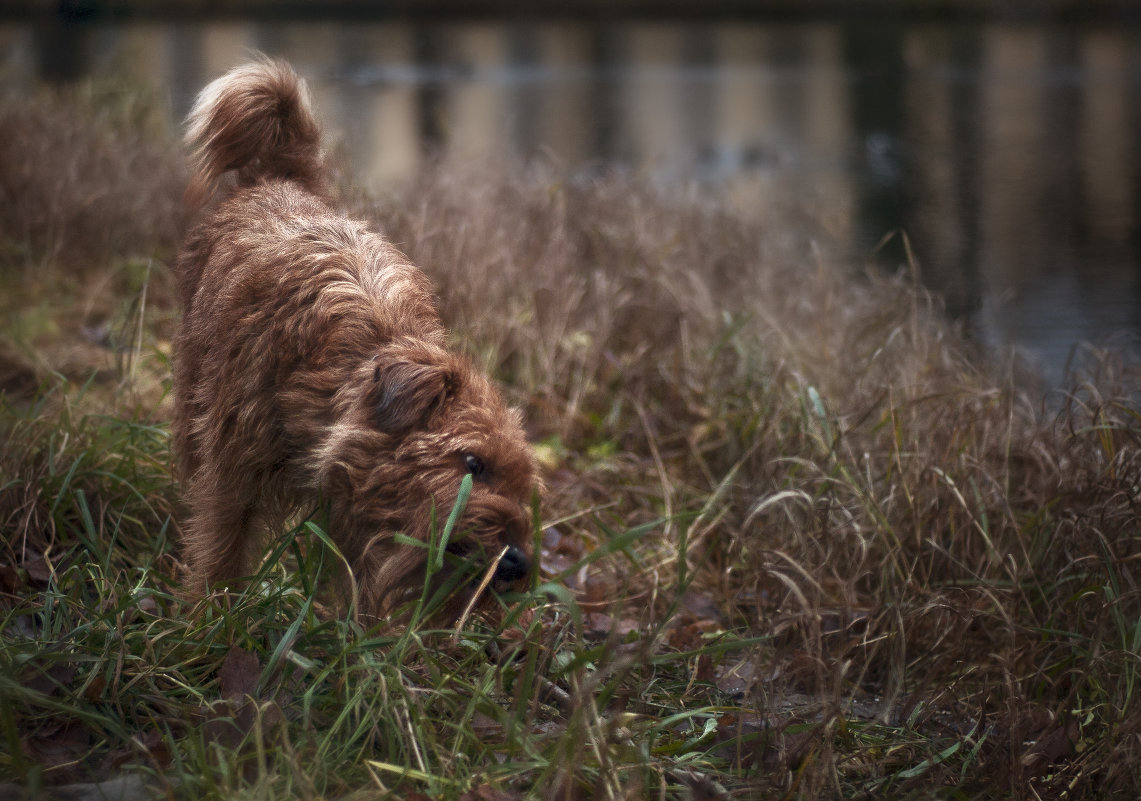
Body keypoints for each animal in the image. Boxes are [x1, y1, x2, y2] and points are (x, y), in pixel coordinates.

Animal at [172, 59, 538, 625]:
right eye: (473, 464)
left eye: (523, 486)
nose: (519, 562)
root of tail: (278, 178)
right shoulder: (233, 478)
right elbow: (221, 550)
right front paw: (210, 621)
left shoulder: (352, 516)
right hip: (192, 397)